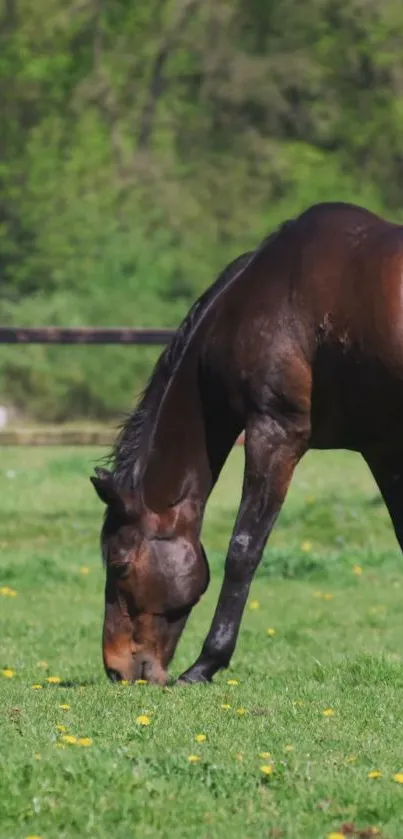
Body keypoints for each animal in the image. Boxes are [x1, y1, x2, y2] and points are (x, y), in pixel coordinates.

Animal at [91, 202, 403, 684]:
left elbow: (243, 549)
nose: (117, 669)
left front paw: (205, 665)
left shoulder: (274, 433)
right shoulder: (382, 447)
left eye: (120, 564)